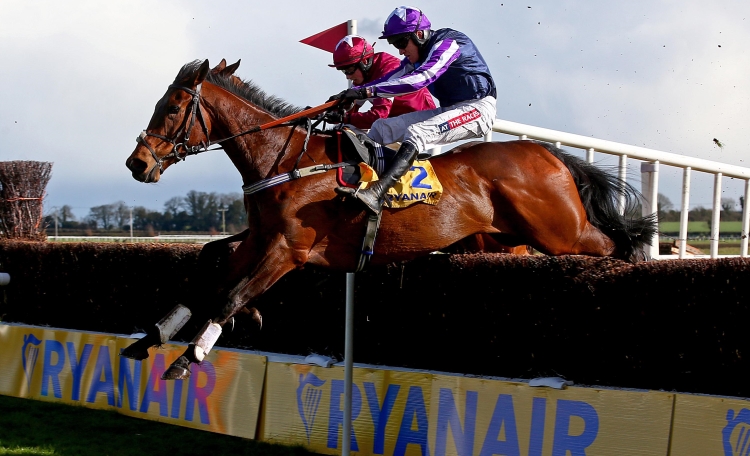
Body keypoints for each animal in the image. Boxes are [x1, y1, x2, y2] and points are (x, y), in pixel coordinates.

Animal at [125, 58, 656, 380]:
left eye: (172, 107)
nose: (137, 163)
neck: (285, 158)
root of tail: (549, 154)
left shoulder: (288, 250)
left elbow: (228, 294)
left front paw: (189, 357)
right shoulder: (258, 239)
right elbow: (208, 272)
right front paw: (153, 335)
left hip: (561, 231)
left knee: (615, 248)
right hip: (518, 238)